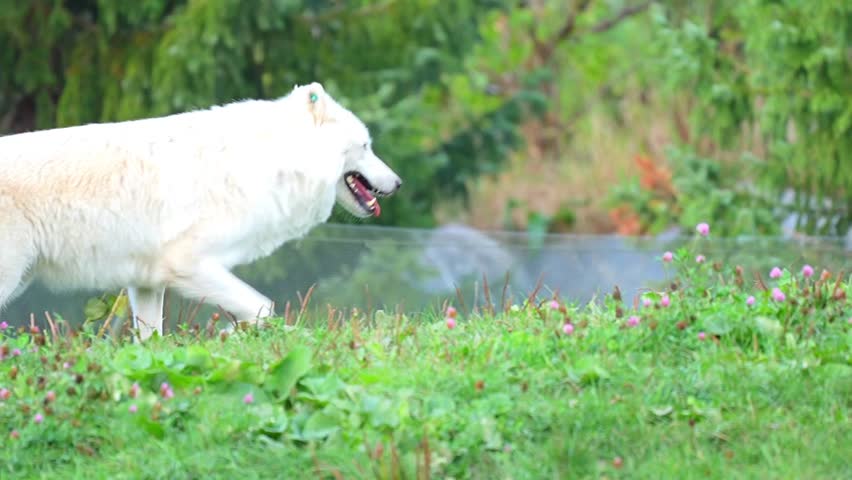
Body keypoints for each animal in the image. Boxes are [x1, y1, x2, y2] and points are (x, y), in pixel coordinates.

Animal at [0, 82, 401, 340]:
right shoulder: (188, 264)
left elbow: (151, 342)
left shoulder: (147, 281)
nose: (398, 183)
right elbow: (262, 307)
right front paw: (235, 334)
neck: (271, 161)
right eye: (366, 146)